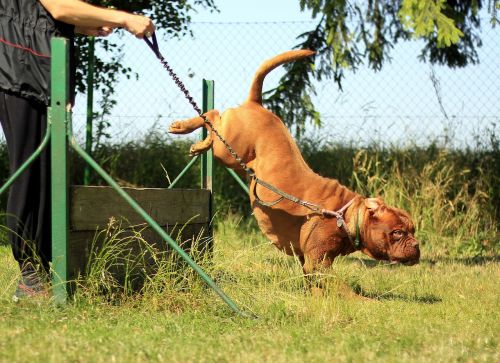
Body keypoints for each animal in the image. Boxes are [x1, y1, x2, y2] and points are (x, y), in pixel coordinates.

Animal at [170, 49, 420, 280]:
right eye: (397, 233)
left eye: (413, 230)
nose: (416, 245)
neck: (344, 215)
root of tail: (256, 104)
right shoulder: (319, 263)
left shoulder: (310, 259)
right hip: (229, 149)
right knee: (213, 115)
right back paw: (186, 130)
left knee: (213, 121)